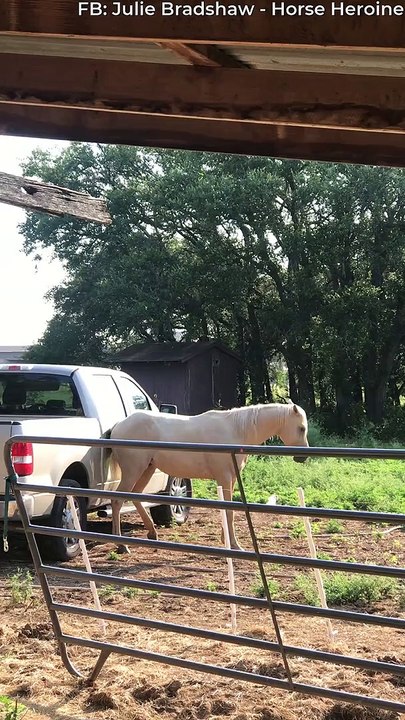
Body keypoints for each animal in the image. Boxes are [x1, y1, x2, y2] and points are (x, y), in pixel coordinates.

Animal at [108, 402, 309, 552]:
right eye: (301, 428)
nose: (303, 457)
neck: (236, 431)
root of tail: (118, 426)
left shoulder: (231, 479)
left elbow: (229, 510)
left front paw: (225, 540)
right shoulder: (224, 477)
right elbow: (229, 511)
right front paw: (234, 544)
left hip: (147, 469)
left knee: (135, 495)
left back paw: (152, 534)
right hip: (134, 470)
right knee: (117, 501)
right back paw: (121, 546)